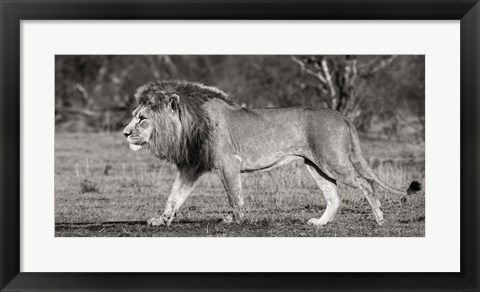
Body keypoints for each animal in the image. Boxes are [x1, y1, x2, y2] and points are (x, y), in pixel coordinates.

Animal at [123, 81, 420, 227]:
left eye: (142, 118)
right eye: (135, 116)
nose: (125, 133)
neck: (187, 125)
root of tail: (341, 115)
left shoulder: (229, 163)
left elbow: (235, 197)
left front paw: (237, 220)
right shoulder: (191, 166)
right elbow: (174, 197)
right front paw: (161, 220)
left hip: (333, 160)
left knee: (366, 182)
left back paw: (379, 218)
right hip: (316, 165)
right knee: (335, 197)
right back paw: (320, 224)